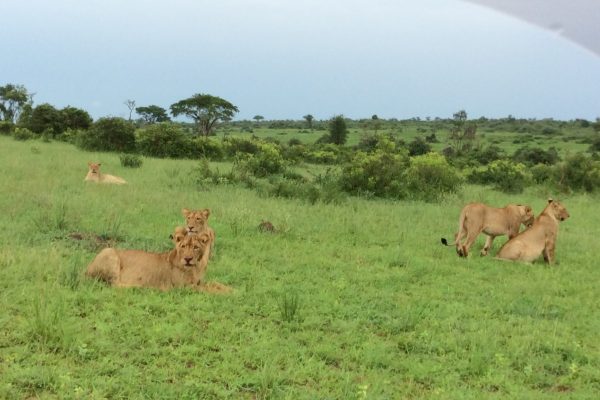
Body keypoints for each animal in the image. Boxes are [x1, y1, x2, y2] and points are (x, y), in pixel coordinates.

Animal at [83, 233, 226, 292]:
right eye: (183, 246)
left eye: (196, 247)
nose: (188, 259)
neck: (196, 268)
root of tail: (85, 271)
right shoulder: (183, 287)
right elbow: (208, 289)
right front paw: (227, 295)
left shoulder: (198, 282)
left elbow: (216, 284)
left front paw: (230, 289)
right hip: (109, 252)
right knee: (114, 285)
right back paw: (143, 287)